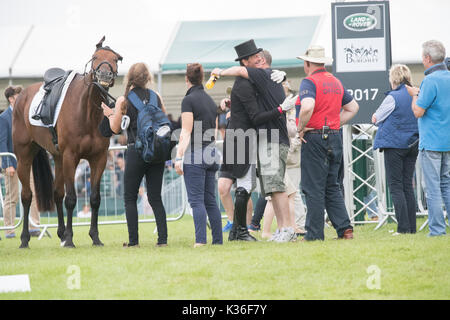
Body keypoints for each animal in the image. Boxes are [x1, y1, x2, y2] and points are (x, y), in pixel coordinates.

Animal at [13, 37, 122, 248]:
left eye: (115, 59)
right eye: (95, 57)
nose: (104, 75)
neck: (87, 112)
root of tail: (22, 95)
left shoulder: (99, 159)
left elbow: (95, 199)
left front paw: (94, 237)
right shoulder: (71, 157)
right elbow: (71, 199)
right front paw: (71, 239)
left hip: (57, 158)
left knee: (57, 193)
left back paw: (61, 234)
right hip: (24, 156)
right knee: (27, 196)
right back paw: (24, 240)